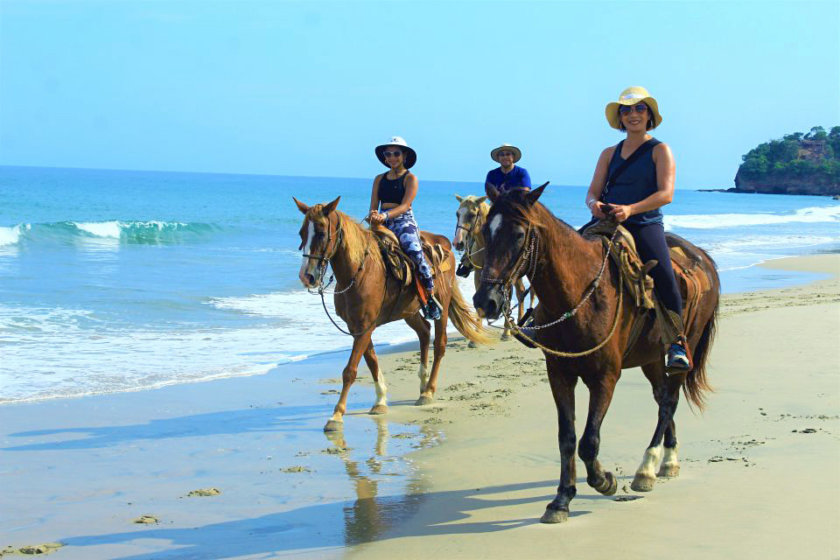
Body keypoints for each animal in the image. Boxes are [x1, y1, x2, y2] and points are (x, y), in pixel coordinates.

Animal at [296, 197, 488, 434]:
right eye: (301, 233)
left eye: (322, 232)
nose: (306, 276)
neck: (359, 271)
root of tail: (446, 247)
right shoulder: (357, 327)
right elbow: (371, 361)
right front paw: (380, 401)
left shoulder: (365, 327)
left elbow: (350, 370)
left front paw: (336, 415)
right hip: (409, 311)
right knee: (424, 332)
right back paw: (422, 383)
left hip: (441, 305)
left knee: (440, 344)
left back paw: (428, 391)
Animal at [450, 196, 536, 342]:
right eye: (457, 214)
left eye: (472, 215)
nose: (458, 242)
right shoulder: (479, 273)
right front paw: (476, 335)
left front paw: (506, 332)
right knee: (521, 292)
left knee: (523, 292)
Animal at [476, 186, 720, 524]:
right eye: (486, 231)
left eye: (519, 234)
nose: (484, 300)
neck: (579, 295)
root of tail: (704, 258)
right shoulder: (559, 374)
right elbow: (567, 438)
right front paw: (561, 500)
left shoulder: (605, 377)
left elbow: (589, 442)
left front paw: (604, 481)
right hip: (651, 358)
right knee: (662, 399)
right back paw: (668, 461)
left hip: (686, 349)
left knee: (669, 402)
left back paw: (647, 468)